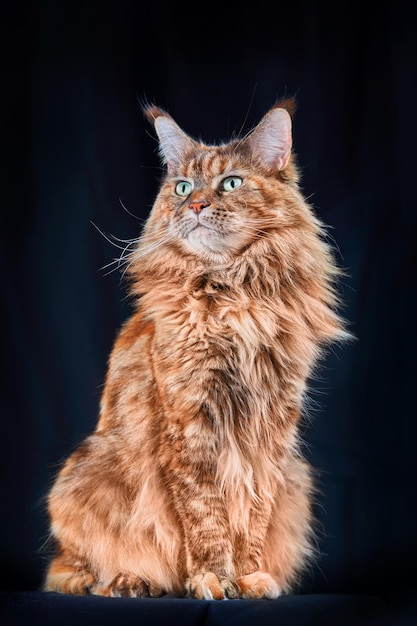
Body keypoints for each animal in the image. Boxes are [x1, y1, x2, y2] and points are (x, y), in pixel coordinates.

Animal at [44, 102, 348, 600]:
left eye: (231, 182)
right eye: (183, 187)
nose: (197, 205)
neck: (235, 298)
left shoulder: (270, 432)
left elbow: (253, 512)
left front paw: (249, 576)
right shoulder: (189, 424)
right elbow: (205, 515)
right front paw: (213, 577)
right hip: (85, 476)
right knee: (69, 569)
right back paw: (128, 583)